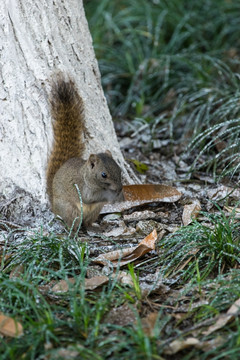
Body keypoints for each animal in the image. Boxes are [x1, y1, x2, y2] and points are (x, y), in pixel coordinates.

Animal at [46, 74, 124, 229]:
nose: (119, 189)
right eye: (103, 175)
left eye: (119, 169)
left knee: (87, 222)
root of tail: (55, 208)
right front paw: (111, 196)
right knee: (73, 223)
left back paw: (95, 227)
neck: (87, 176)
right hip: (70, 209)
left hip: (96, 210)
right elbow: (89, 198)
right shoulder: (82, 188)